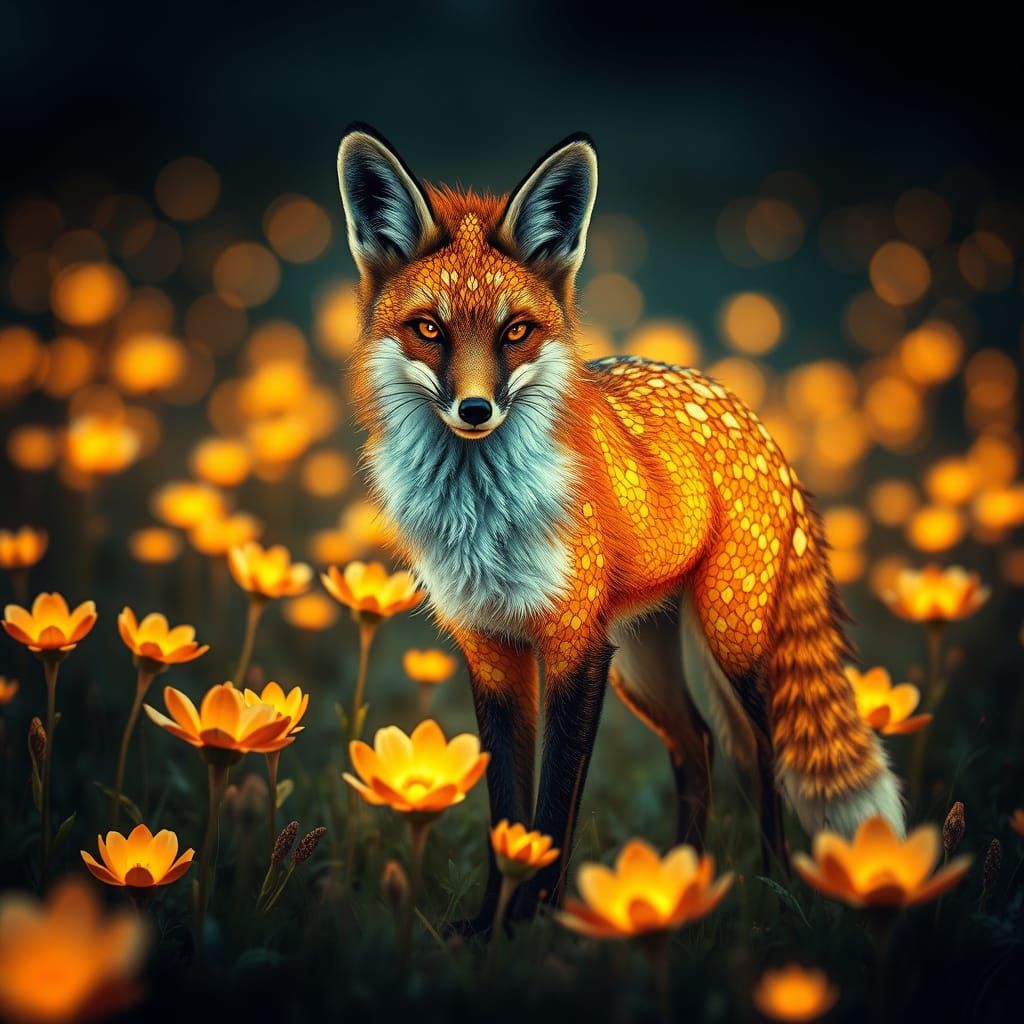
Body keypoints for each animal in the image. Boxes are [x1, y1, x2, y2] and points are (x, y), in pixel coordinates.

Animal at [336, 124, 904, 927]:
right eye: (428, 330)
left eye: (516, 333)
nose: (475, 410)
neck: (482, 520)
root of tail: (747, 410)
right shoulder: (493, 650)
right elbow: (508, 810)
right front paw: (488, 926)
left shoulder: (577, 647)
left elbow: (551, 809)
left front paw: (532, 923)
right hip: (642, 661)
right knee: (697, 745)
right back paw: (683, 888)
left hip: (731, 645)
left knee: (761, 753)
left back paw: (775, 890)